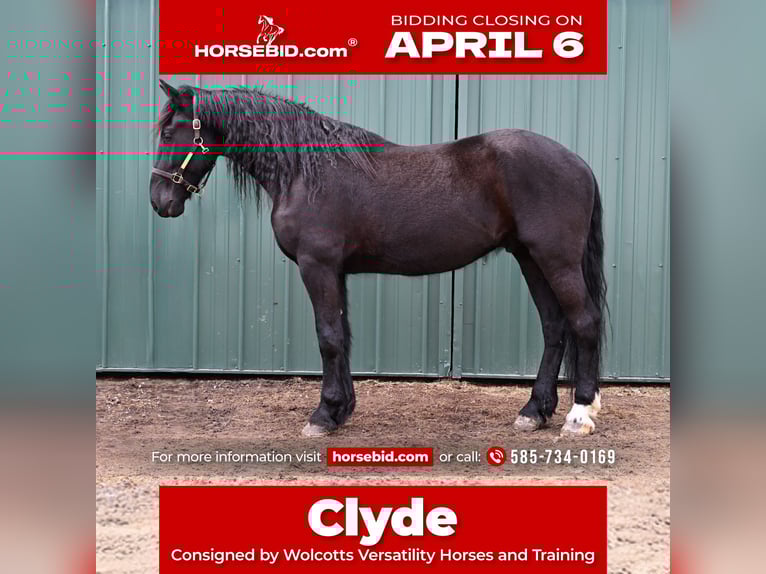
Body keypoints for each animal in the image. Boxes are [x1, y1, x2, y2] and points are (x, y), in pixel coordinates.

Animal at [150, 80, 607, 437]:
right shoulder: (336, 272)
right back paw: (535, 411)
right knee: (554, 327)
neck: (305, 172)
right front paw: (341, 410)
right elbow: (343, 336)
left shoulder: (317, 267)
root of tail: (579, 163)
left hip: (556, 259)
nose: (160, 201)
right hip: (529, 258)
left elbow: (328, 338)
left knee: (583, 322)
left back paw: (579, 413)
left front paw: (323, 415)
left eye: (171, 131)